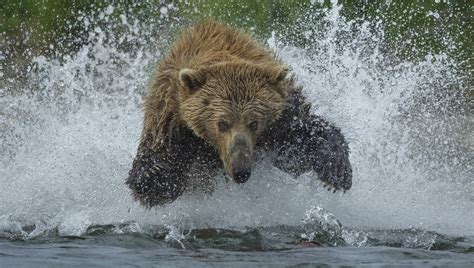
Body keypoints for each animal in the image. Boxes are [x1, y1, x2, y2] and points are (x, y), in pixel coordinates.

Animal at [127, 22, 352, 207]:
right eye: (222, 123)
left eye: (254, 123)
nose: (241, 171)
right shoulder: (170, 118)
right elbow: (160, 174)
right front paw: (153, 172)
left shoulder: (284, 115)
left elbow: (302, 140)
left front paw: (337, 171)